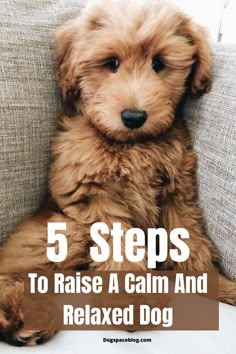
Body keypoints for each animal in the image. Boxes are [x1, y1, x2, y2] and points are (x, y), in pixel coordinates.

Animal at [0, 0, 236, 346]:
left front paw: (217, 285)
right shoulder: (93, 197)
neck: (131, 144)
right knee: (16, 271)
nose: (134, 116)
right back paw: (20, 316)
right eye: (111, 63)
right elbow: (122, 247)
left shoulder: (177, 192)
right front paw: (133, 303)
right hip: (62, 231)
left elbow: (190, 241)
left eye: (159, 63)